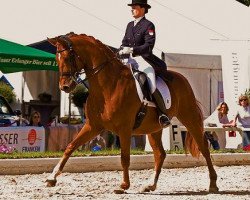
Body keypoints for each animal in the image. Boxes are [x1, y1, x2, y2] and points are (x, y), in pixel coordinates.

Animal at [47, 33, 219, 194]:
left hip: (190, 118)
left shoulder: (124, 129)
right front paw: (52, 178)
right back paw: (150, 185)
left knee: (204, 148)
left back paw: (213, 184)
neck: (107, 86)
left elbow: (124, 157)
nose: (65, 87)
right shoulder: (93, 126)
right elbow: (70, 147)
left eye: (68, 57)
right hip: (154, 129)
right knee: (160, 154)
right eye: (56, 58)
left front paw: (123, 185)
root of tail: (182, 78)